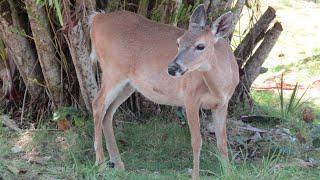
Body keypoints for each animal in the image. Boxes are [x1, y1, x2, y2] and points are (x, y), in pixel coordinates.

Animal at [89, 3, 239, 179]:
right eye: (178, 42)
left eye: (201, 46)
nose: (172, 68)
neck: (219, 87)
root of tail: (97, 19)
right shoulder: (190, 97)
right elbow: (196, 141)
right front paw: (195, 175)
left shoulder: (222, 104)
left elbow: (222, 142)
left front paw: (229, 174)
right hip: (112, 71)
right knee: (97, 104)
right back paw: (100, 163)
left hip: (129, 83)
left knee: (108, 113)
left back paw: (118, 164)